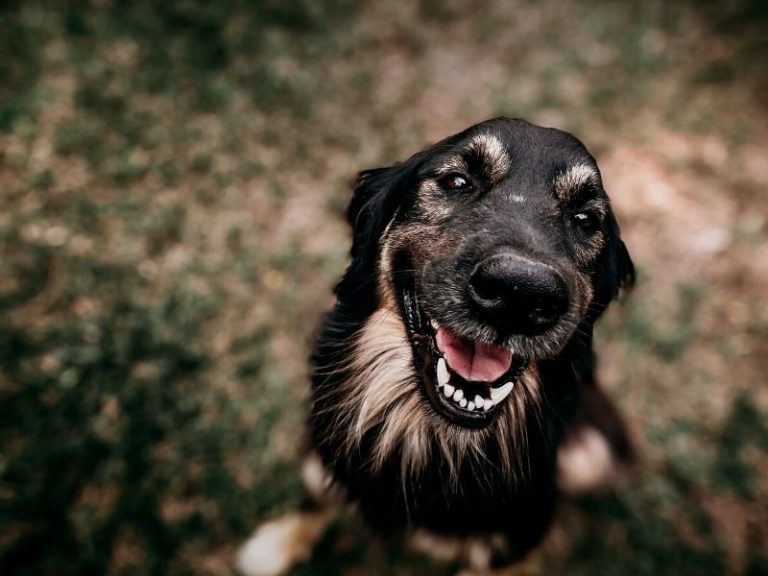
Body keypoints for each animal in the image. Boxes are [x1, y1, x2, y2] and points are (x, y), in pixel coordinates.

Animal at [240, 117, 636, 576]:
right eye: (457, 181)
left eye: (585, 219)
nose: (519, 294)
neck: (431, 436)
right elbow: (315, 494)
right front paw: (281, 543)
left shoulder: (519, 532)